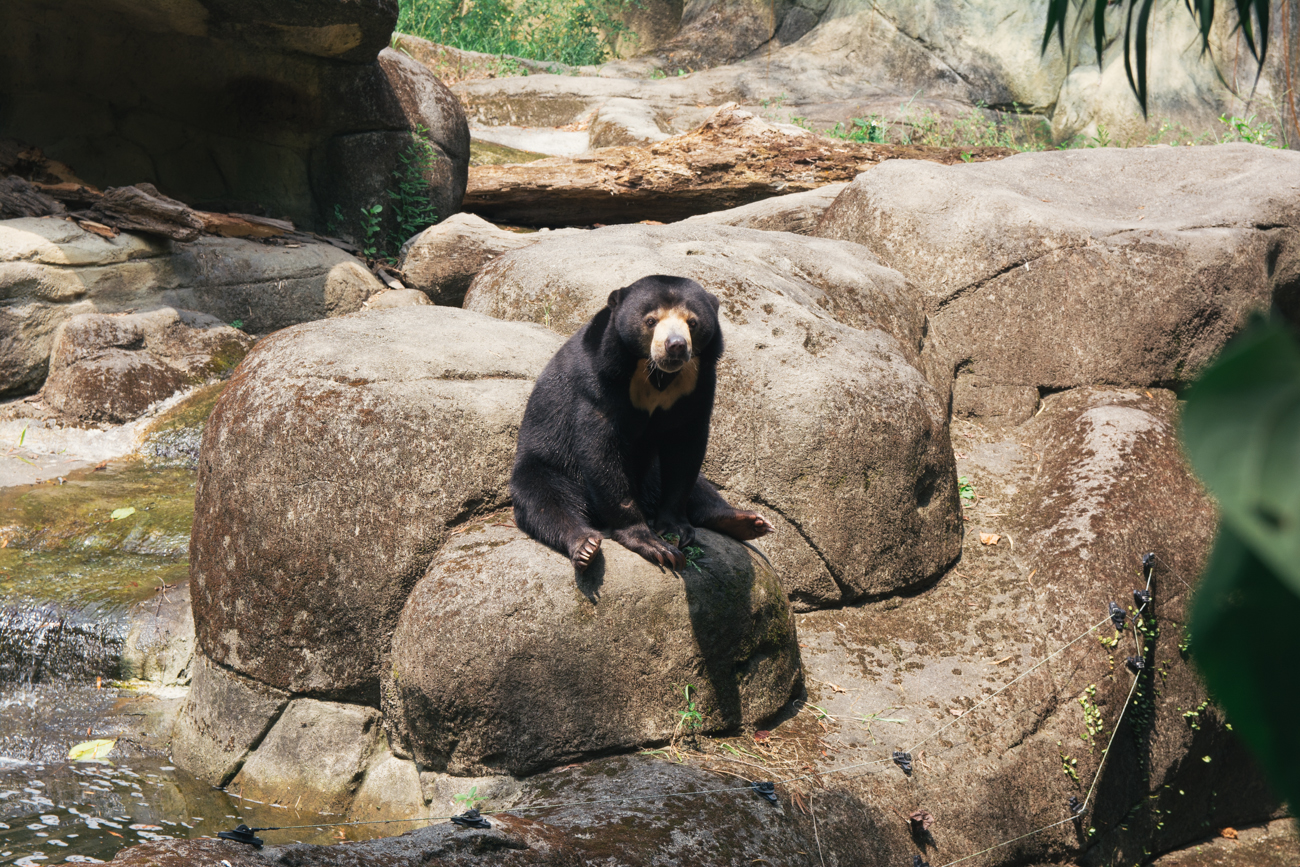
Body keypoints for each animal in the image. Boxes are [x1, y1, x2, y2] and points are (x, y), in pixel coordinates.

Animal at [510, 274, 773, 571]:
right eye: (651, 321)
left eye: (692, 322)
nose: (675, 345)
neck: (656, 375)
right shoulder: (598, 382)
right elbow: (600, 449)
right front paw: (655, 545)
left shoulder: (697, 384)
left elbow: (685, 451)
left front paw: (674, 529)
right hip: (547, 465)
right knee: (547, 502)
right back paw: (585, 545)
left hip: (652, 471)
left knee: (701, 488)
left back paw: (749, 522)